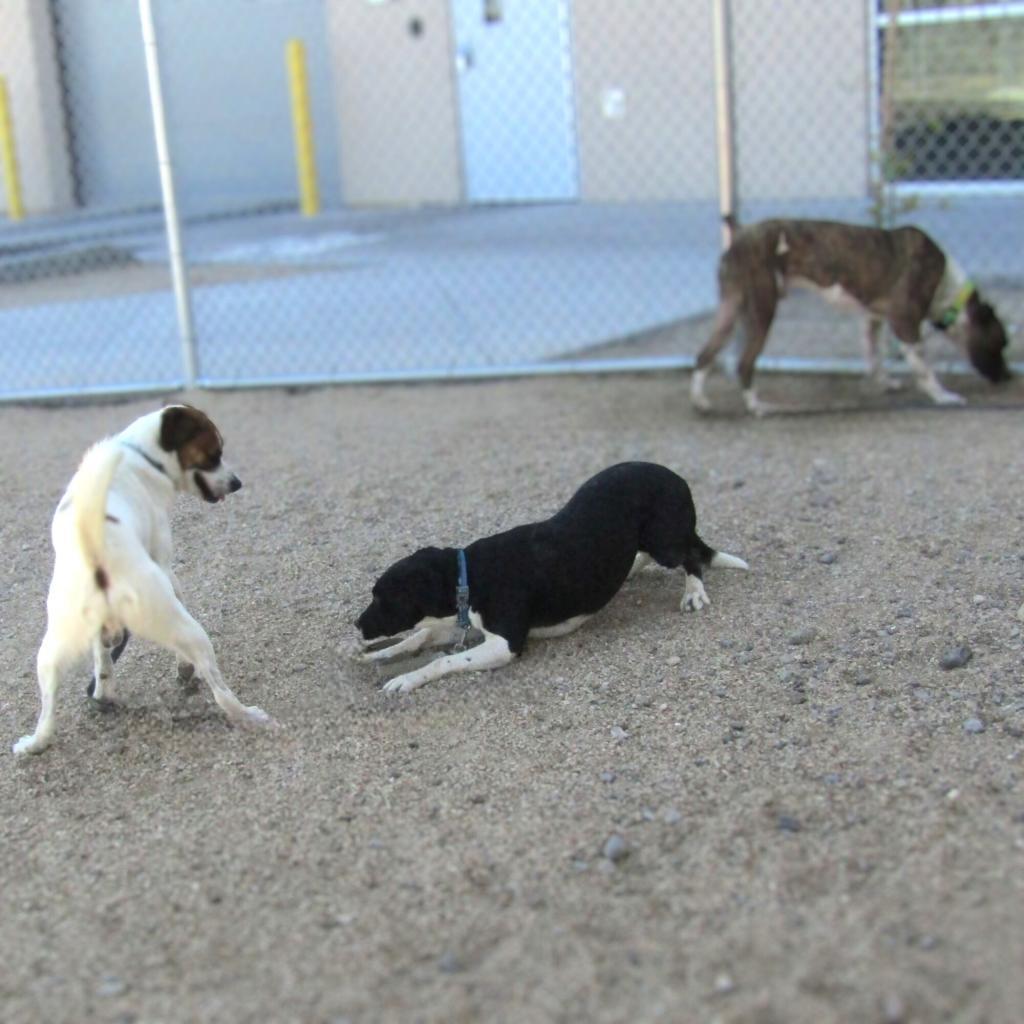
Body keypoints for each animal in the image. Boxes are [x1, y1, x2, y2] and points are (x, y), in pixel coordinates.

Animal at [14, 403, 276, 757]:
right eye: (214, 454)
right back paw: (248, 714)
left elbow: (101, 658)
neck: (142, 455)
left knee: (47, 710)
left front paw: (104, 685)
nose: (237, 483)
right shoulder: (163, 562)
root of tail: (96, 554)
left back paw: (35, 742)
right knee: (220, 690)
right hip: (187, 628)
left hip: (50, 651)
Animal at [356, 464, 749, 696]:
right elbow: (419, 637)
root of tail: (675, 477)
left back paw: (693, 591)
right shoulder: (465, 623)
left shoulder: (505, 643)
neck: (468, 575)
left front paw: (404, 679)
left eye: (382, 598)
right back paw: (633, 570)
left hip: (664, 539)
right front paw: (380, 653)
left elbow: (443, 660)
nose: (357, 625)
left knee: (690, 556)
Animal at [692, 218, 1011, 413]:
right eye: (1000, 343)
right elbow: (924, 369)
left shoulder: (874, 319)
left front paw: (885, 382)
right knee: (744, 363)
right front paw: (943, 396)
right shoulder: (905, 322)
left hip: (732, 308)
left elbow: (874, 355)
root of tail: (740, 232)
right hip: (762, 310)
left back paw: (700, 401)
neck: (949, 291)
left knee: (705, 353)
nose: (1007, 377)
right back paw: (757, 406)